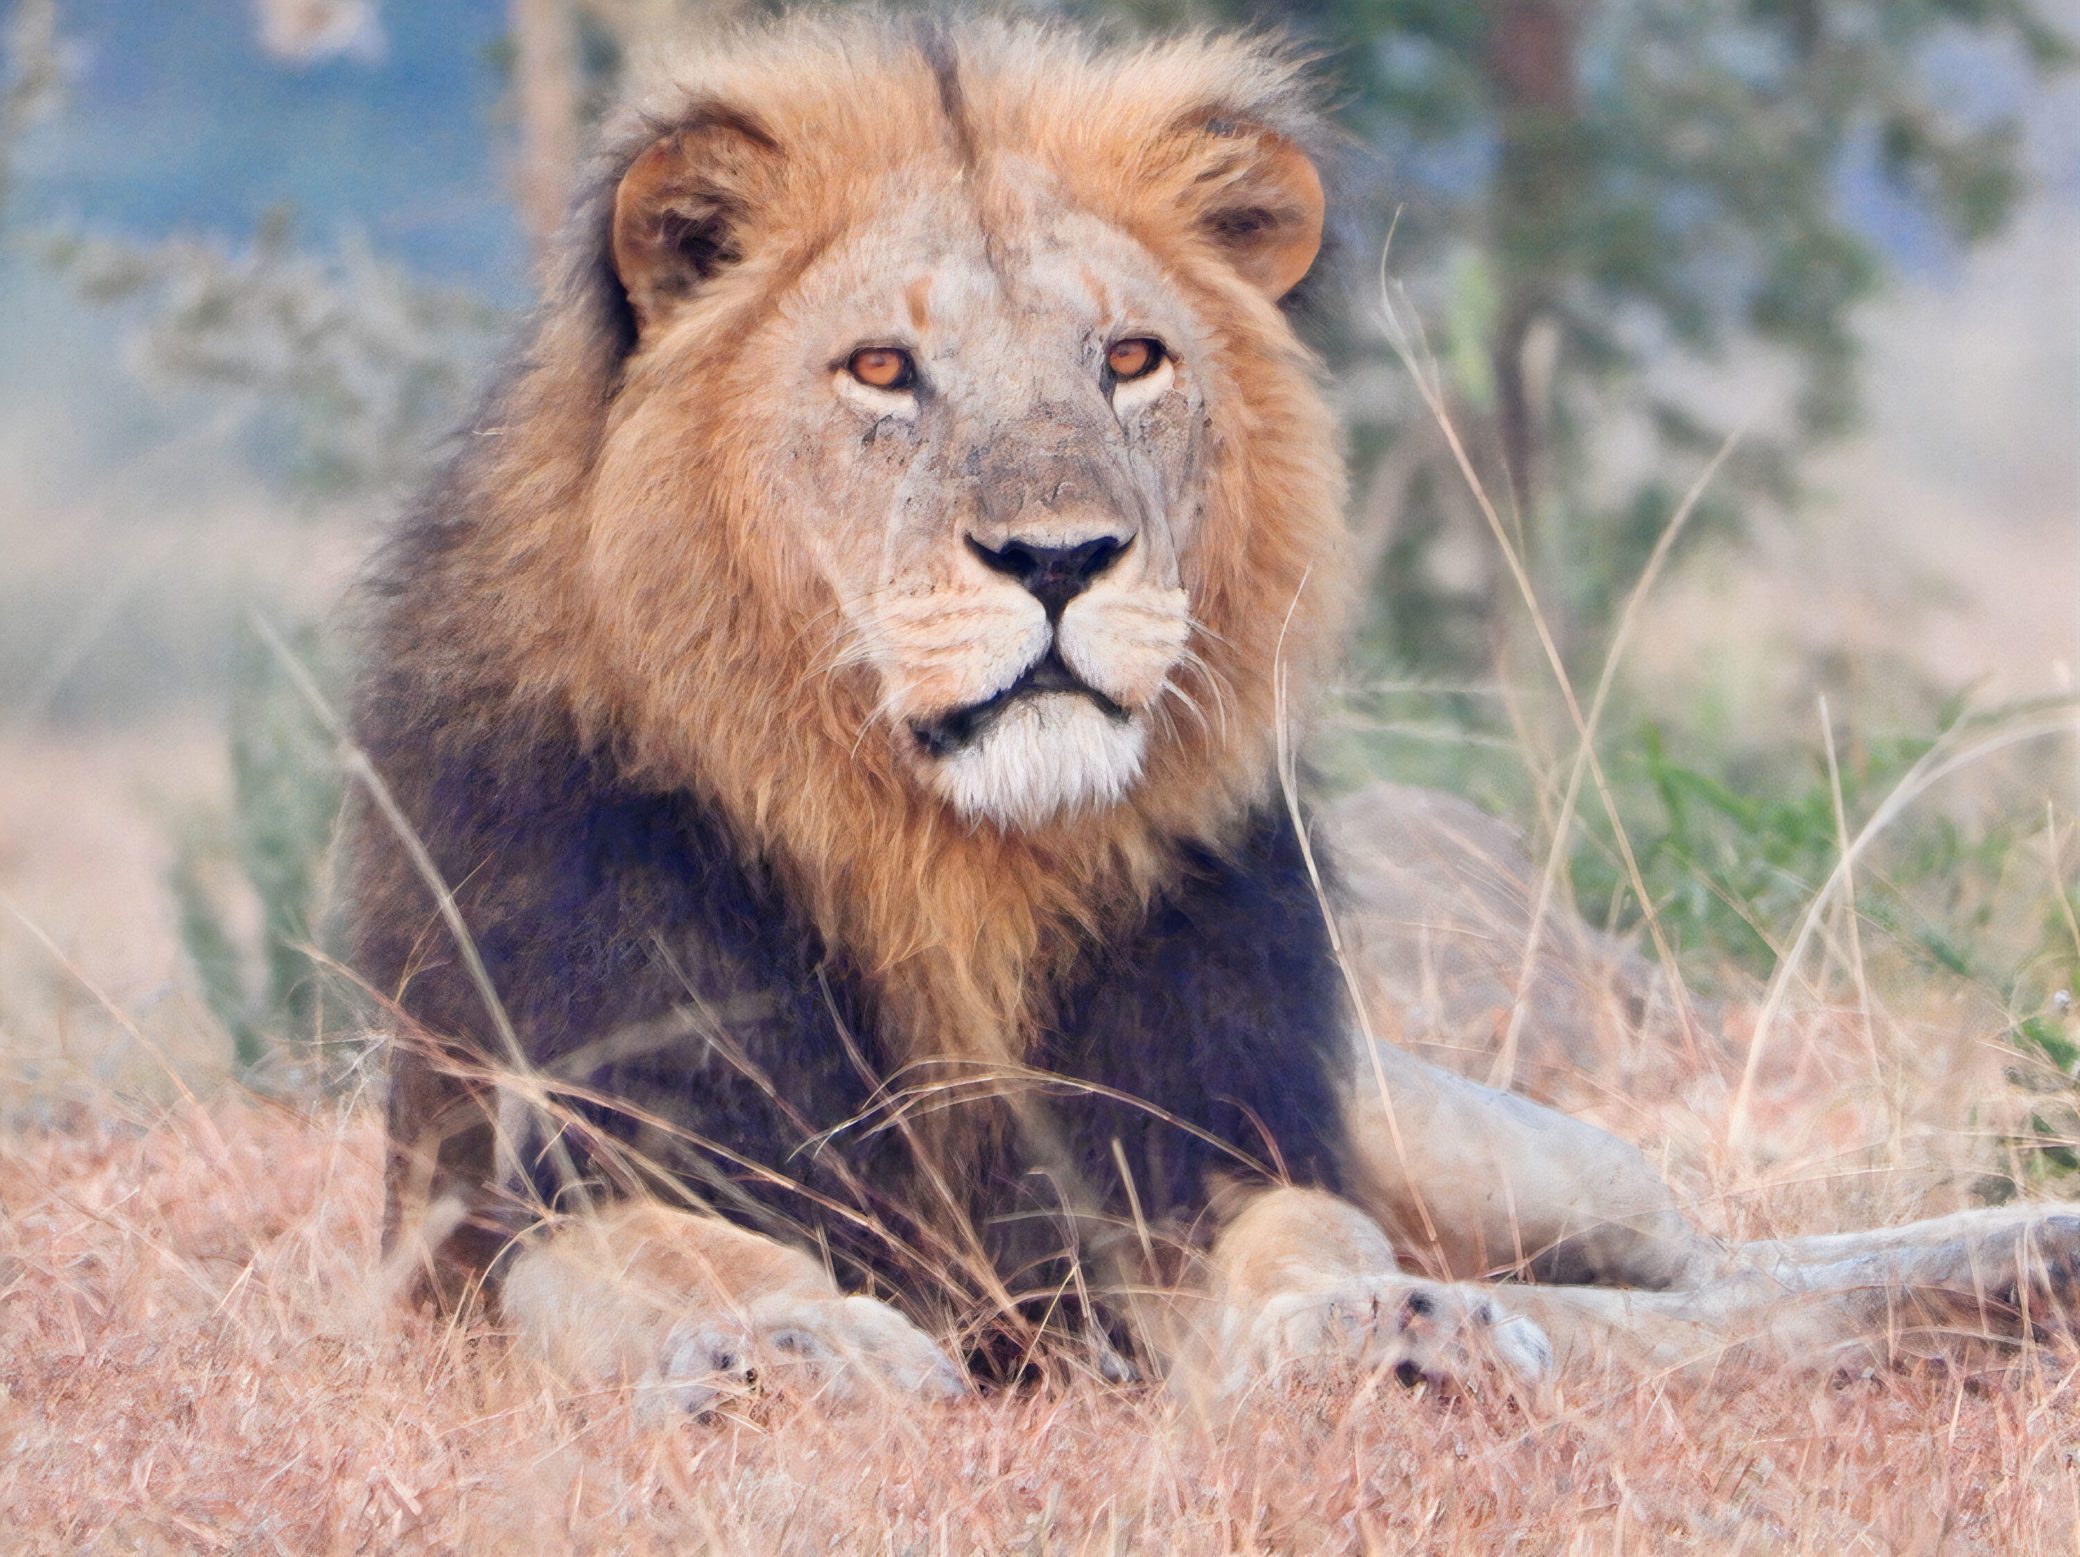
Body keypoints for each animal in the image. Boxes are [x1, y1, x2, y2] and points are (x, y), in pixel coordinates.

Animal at [351, 12, 2080, 1410]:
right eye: (880, 369)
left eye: (1132, 358)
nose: (1058, 558)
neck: (947, 862)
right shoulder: (539, 1185)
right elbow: (675, 1259)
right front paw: (796, 1349)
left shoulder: (1211, 1130)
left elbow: (1309, 1233)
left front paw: (1388, 1325)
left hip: (1473, 1132)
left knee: (1709, 1259)